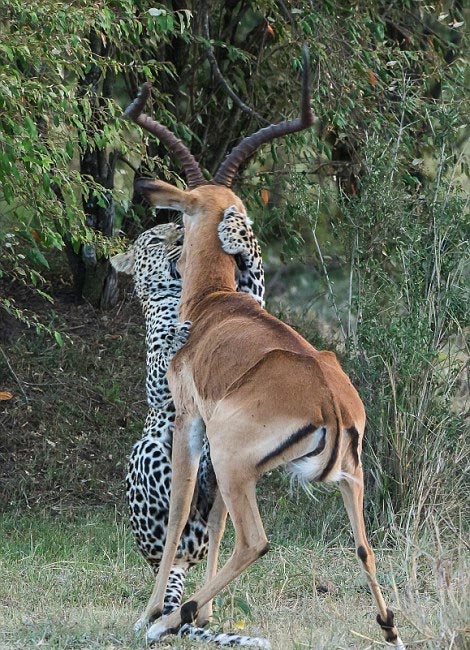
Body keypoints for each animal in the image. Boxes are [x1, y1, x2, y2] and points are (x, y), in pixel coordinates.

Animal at [110, 208, 268, 644]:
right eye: (153, 240)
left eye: (175, 228)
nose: (181, 234)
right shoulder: (157, 382)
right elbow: (166, 355)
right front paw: (178, 333)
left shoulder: (248, 305)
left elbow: (256, 279)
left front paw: (238, 233)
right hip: (147, 450)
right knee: (173, 525)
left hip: (213, 511)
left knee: (212, 528)